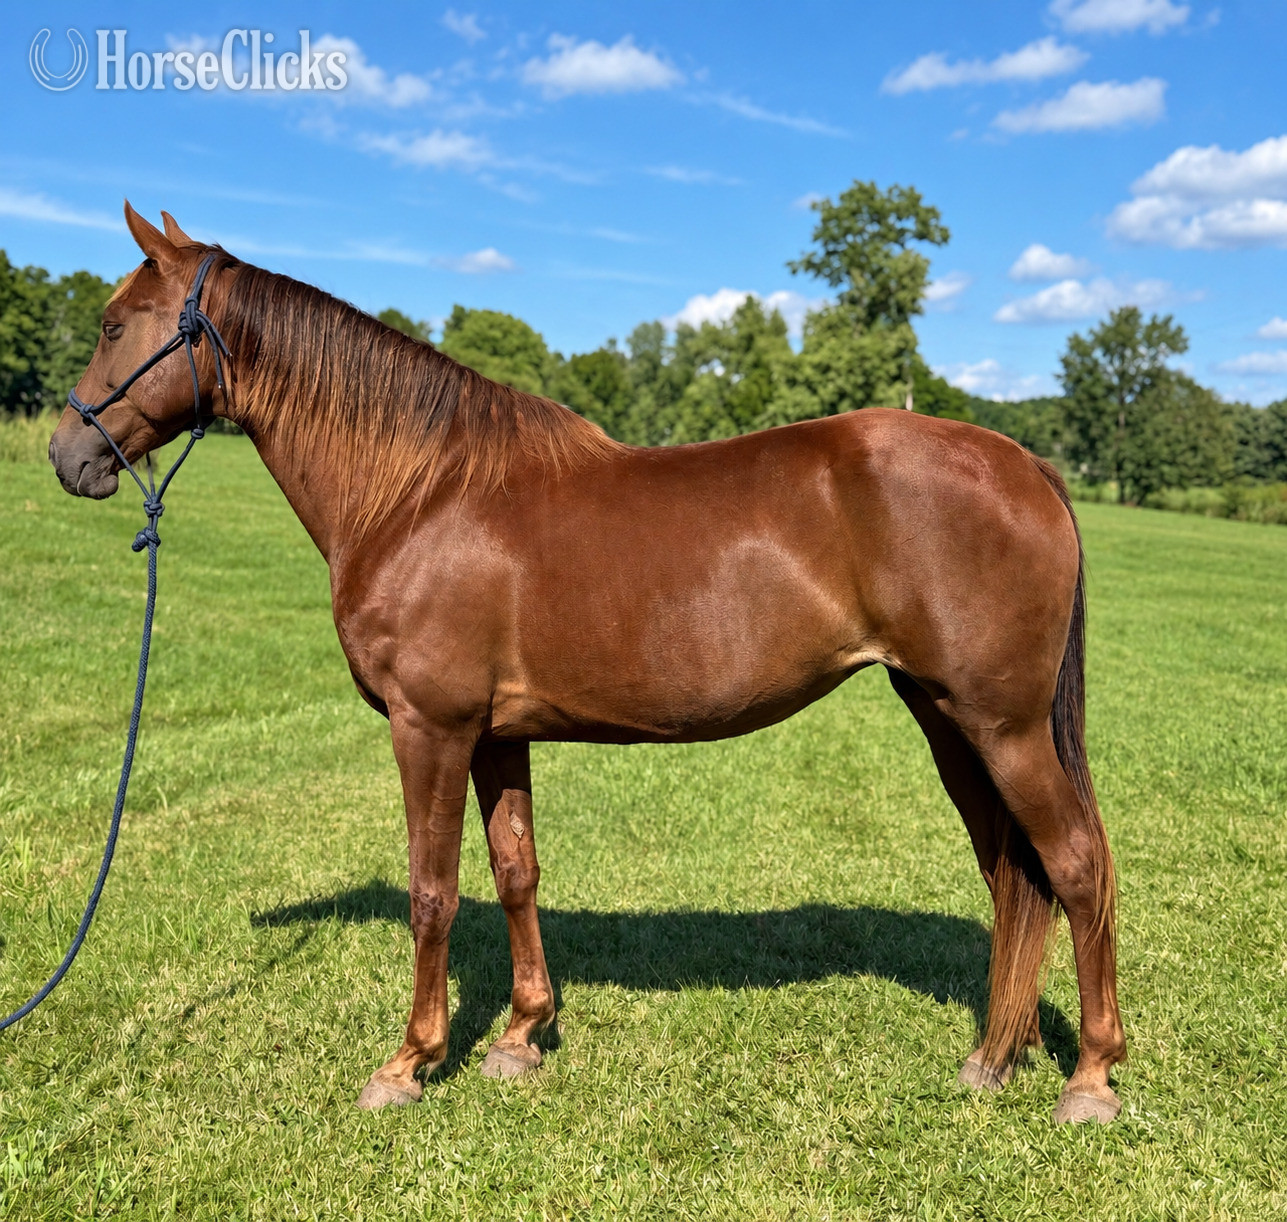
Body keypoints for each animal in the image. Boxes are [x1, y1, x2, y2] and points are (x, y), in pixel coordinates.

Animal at [48, 205, 1125, 1124]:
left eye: (113, 324)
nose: (68, 455)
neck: (419, 491)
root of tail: (1026, 464)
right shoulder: (494, 736)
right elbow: (515, 870)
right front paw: (520, 1037)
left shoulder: (429, 727)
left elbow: (432, 891)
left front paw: (409, 1061)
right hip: (947, 719)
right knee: (1012, 873)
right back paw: (995, 1057)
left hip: (1001, 726)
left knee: (1074, 863)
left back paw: (1090, 1077)